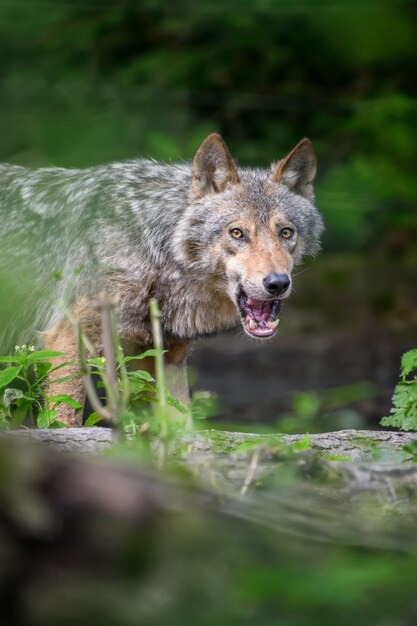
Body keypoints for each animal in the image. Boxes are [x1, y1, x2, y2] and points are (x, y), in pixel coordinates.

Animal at [0, 132, 322, 424]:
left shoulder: (166, 360)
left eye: (286, 233)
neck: (156, 252)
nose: (277, 283)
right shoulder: (66, 341)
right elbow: (65, 422)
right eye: (237, 233)